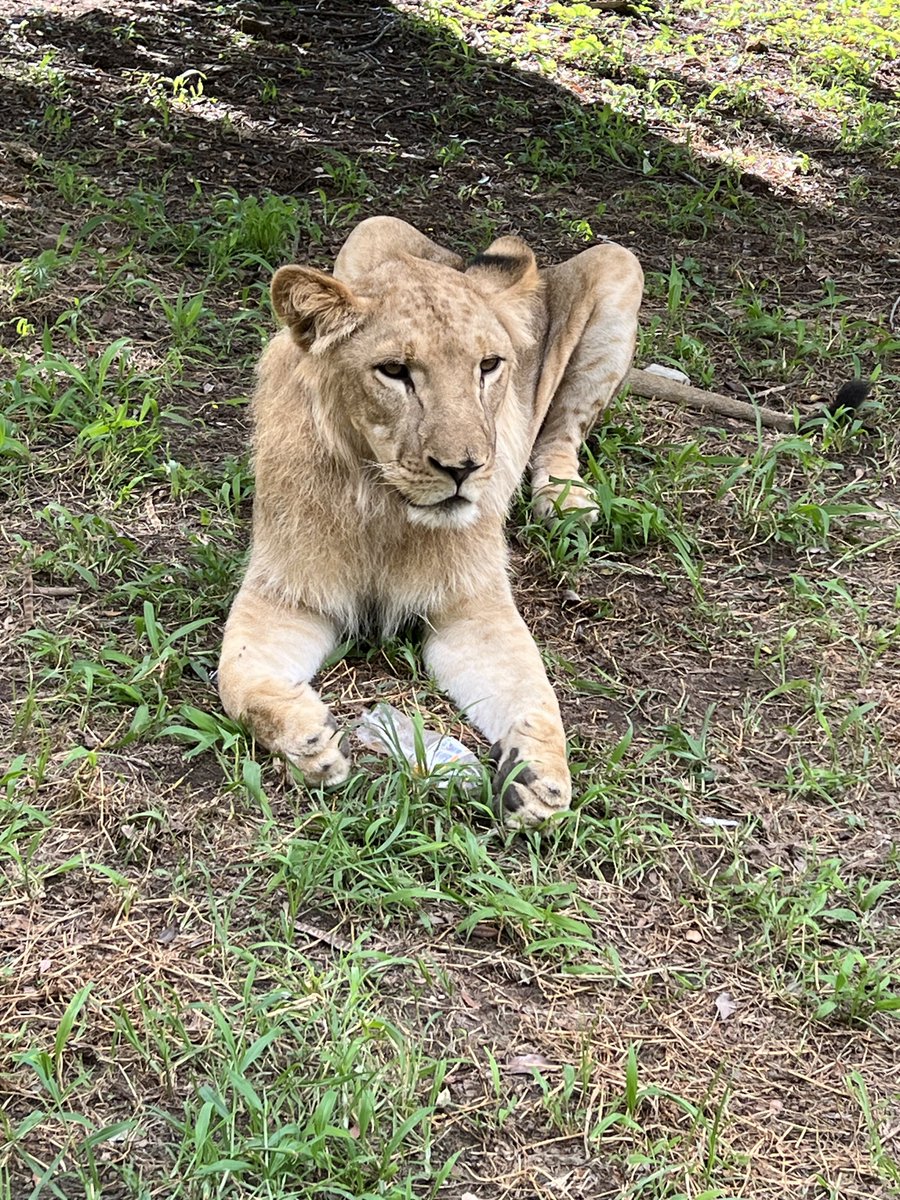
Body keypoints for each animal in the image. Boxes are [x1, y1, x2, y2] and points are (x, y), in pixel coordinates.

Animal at [217, 216, 643, 826]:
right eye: (395, 372)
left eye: (488, 366)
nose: (464, 468)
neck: (384, 507)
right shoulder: (285, 592)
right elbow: (237, 678)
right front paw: (309, 742)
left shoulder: (473, 606)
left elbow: (536, 691)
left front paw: (543, 778)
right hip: (371, 227)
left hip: (619, 268)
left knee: (563, 430)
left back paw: (566, 501)